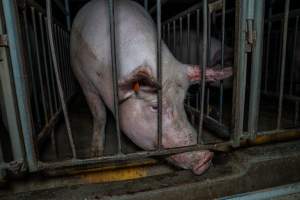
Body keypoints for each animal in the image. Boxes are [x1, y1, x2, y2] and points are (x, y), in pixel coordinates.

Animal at [70, 0, 232, 175]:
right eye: (155, 107)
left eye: (183, 101)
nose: (206, 157)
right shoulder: (84, 80)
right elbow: (99, 114)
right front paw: (96, 154)